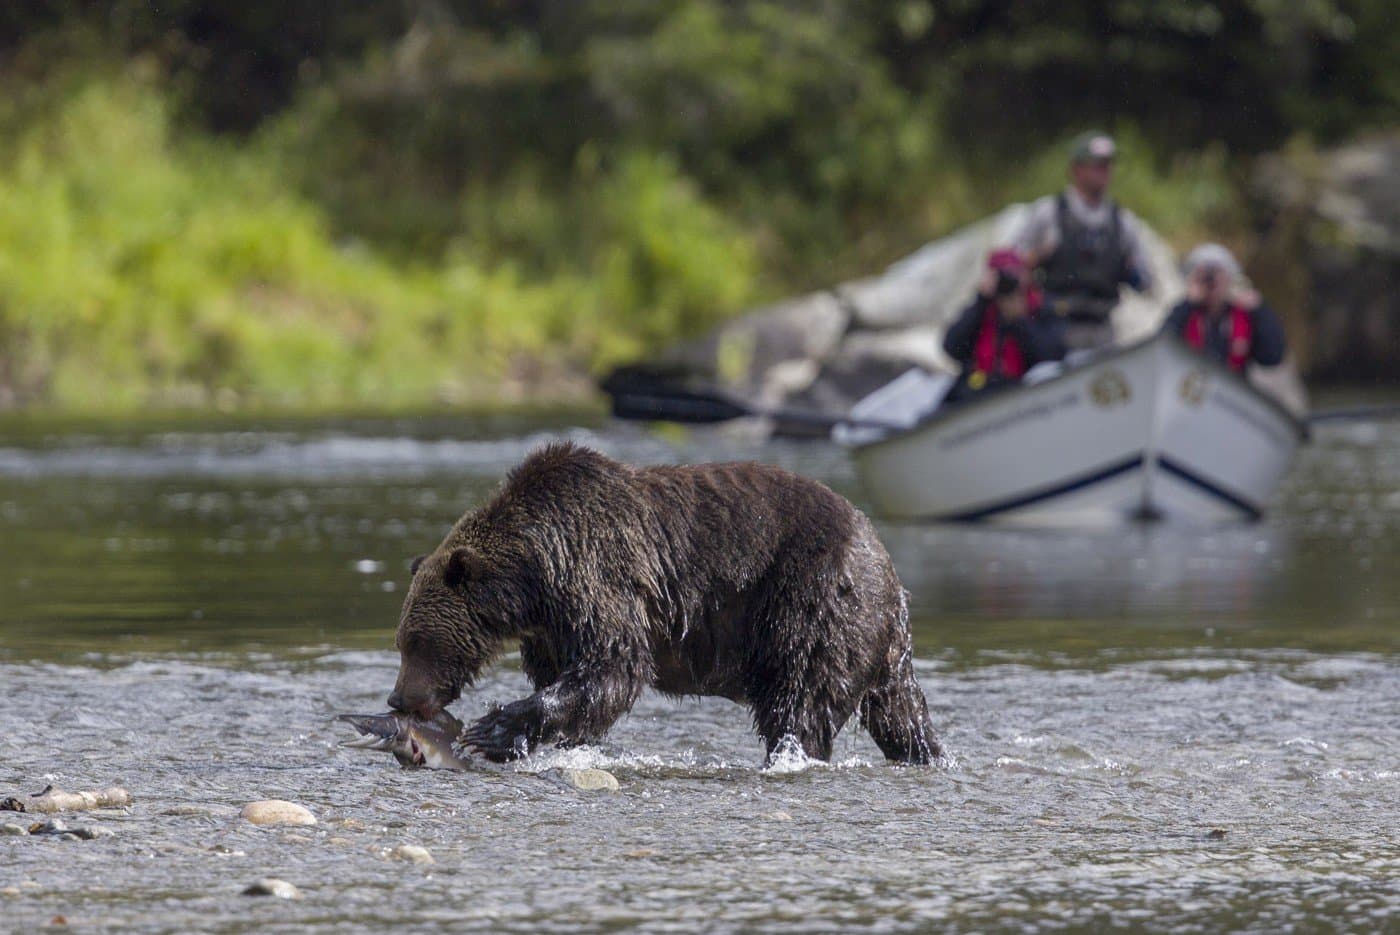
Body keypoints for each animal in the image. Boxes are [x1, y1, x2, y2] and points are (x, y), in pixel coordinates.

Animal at [386, 442, 940, 765]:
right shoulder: (551, 629)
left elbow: (614, 666)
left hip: (810, 601)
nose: (397, 698)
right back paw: (927, 754)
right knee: (900, 715)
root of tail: (887, 568)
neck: (533, 581)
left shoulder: (598, 578)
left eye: (418, 641)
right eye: (402, 642)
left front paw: (493, 729)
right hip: (876, 645)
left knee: (799, 704)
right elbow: (575, 682)